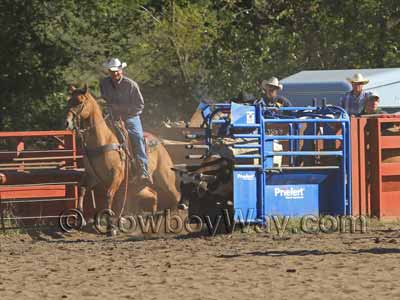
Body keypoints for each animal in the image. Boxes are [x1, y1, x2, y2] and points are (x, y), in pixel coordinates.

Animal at [65, 84, 180, 234]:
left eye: (79, 102)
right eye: (69, 101)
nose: (67, 123)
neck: (102, 140)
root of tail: (160, 144)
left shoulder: (117, 174)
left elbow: (109, 195)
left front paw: (111, 227)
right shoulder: (92, 175)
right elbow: (82, 189)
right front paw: (81, 219)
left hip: (165, 178)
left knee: (176, 196)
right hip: (137, 186)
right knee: (153, 194)